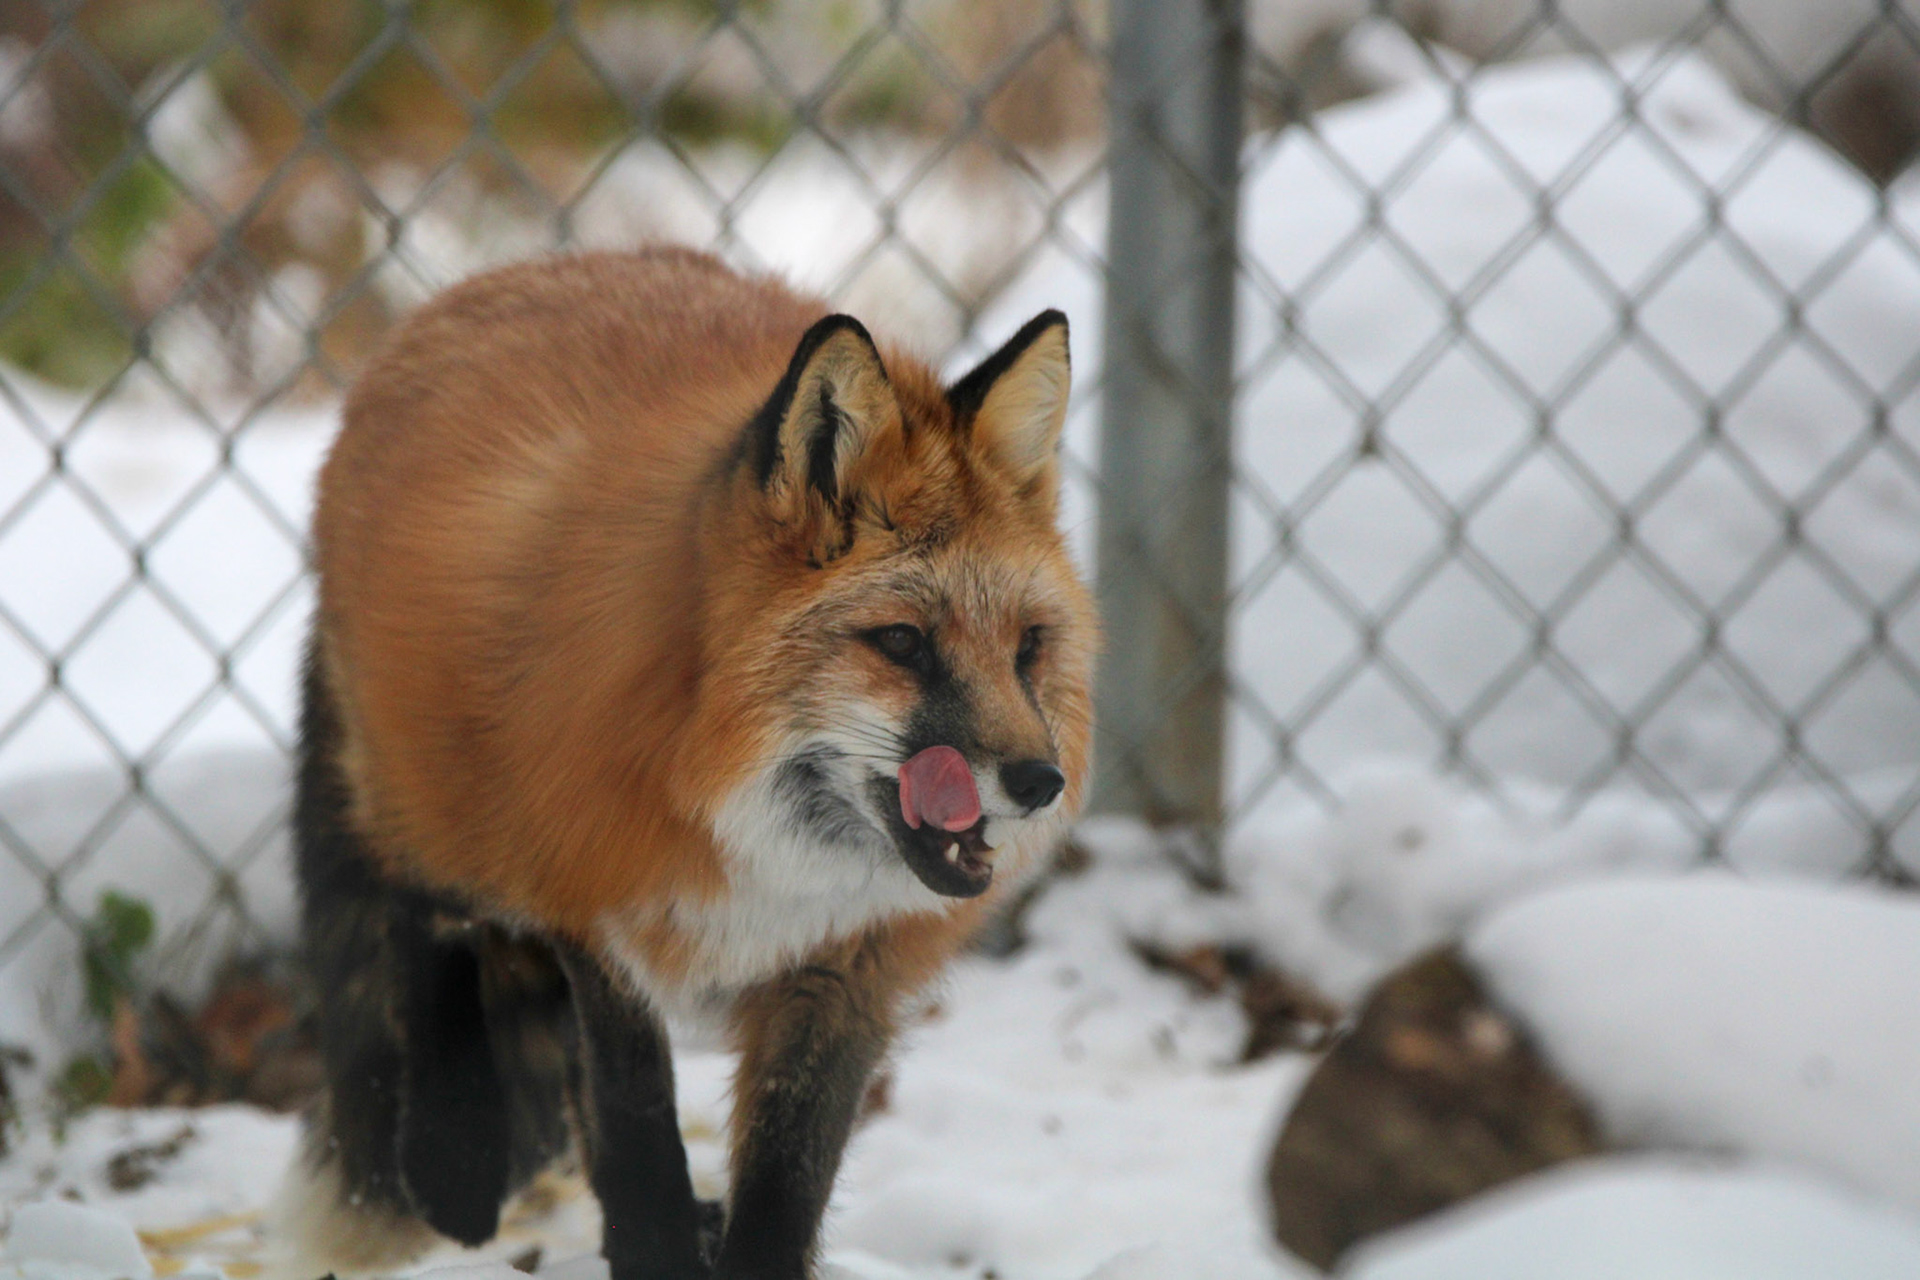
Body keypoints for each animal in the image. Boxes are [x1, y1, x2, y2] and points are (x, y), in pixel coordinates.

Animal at [273, 246, 1096, 1279]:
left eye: (1027, 647)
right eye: (903, 644)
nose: (1039, 784)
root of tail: (520, 269)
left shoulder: (842, 974)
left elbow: (784, 1181)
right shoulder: (600, 912)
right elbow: (635, 1126)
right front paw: (655, 1247)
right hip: (439, 796)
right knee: (430, 920)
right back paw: (453, 1162)